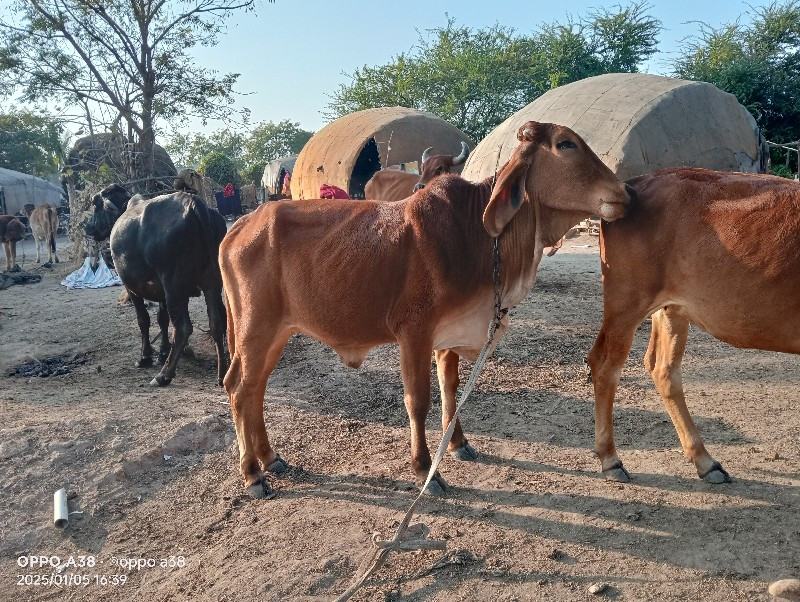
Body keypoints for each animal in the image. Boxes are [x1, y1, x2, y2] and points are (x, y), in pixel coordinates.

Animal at [85, 183, 228, 386]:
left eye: (95, 204)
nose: (88, 227)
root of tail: (193, 202)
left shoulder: (132, 287)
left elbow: (143, 320)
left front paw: (145, 357)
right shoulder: (160, 291)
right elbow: (162, 318)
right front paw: (162, 352)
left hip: (174, 286)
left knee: (183, 327)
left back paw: (164, 374)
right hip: (211, 283)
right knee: (217, 322)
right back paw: (222, 373)